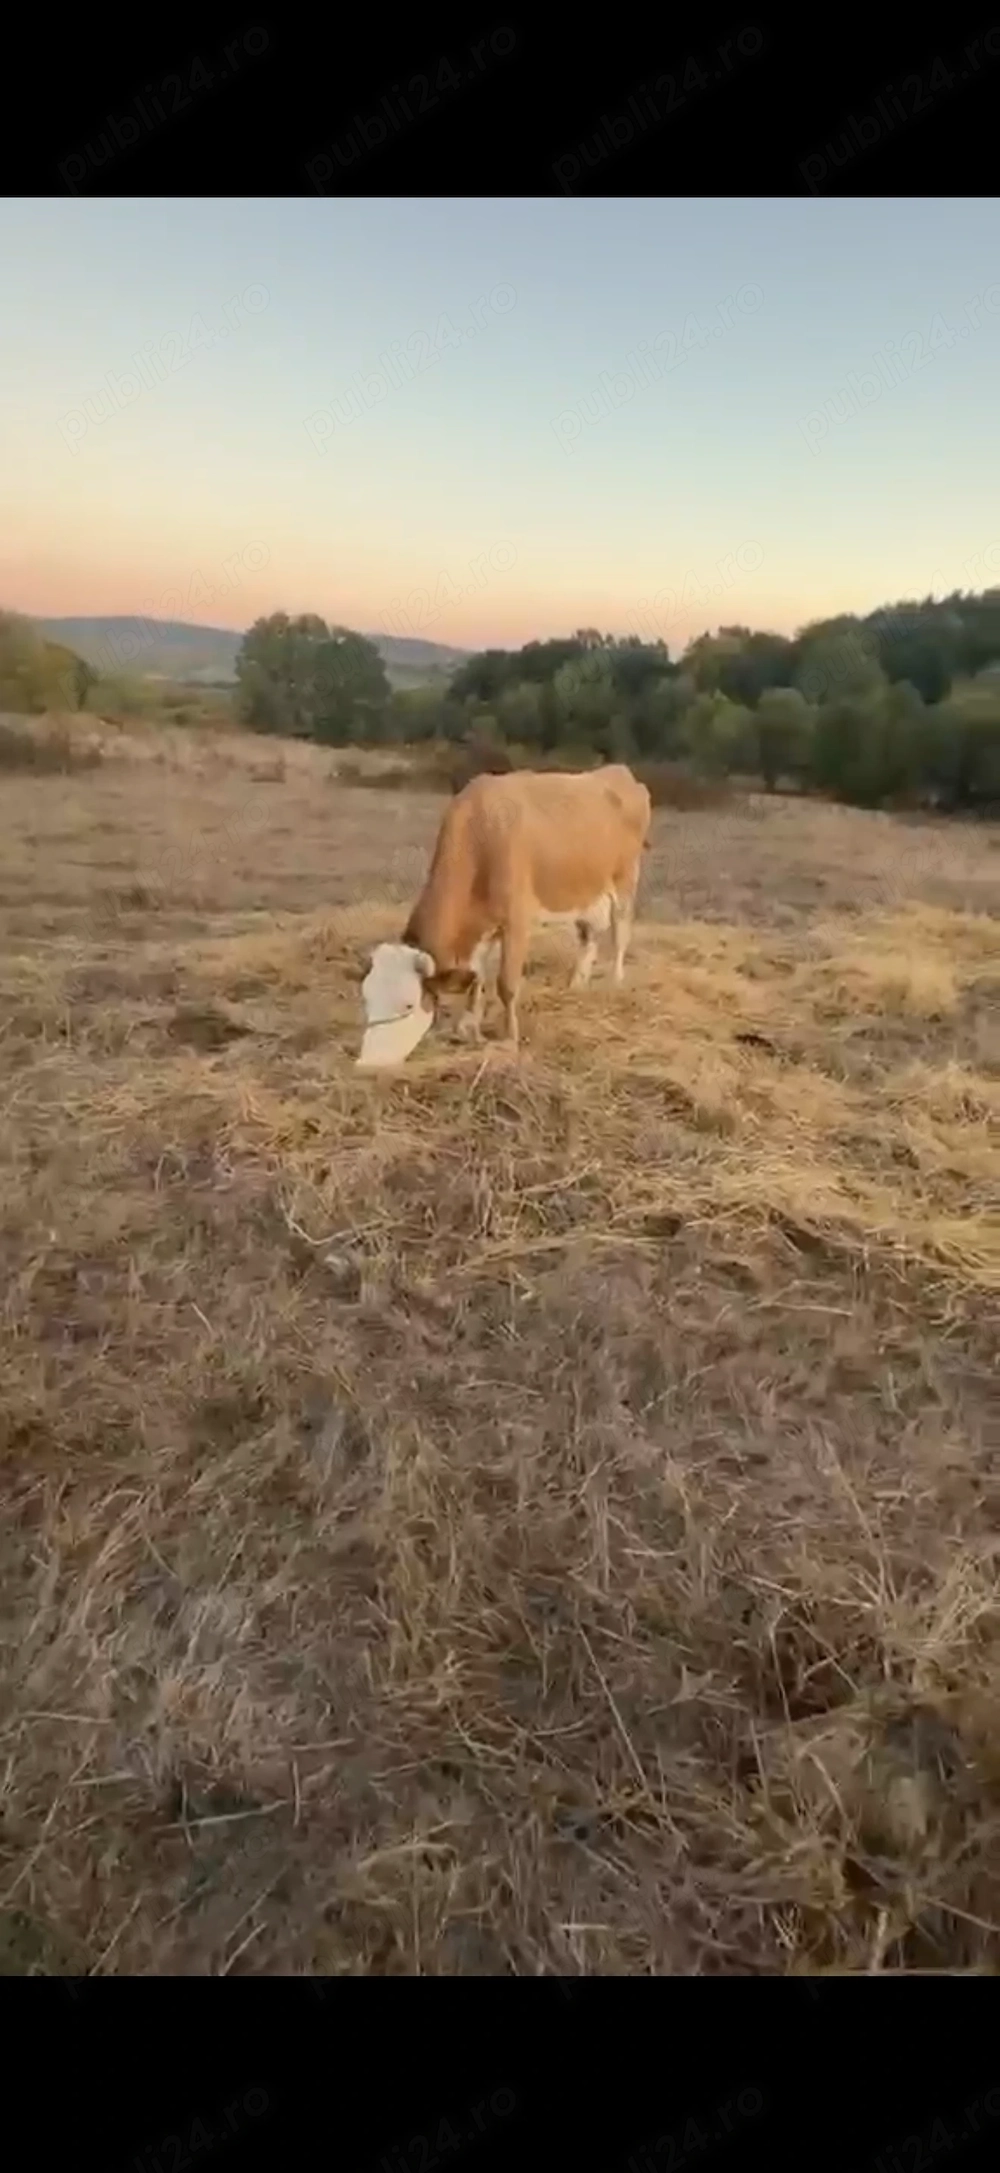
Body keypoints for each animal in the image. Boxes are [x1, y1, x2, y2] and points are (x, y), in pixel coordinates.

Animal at [356, 763, 652, 1068]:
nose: (366, 1064)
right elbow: (476, 977)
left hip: (625, 880)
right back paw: (576, 986)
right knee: (589, 935)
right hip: (586, 891)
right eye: (366, 998)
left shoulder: (516, 922)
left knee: (620, 933)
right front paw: (468, 1028)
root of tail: (618, 771)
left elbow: (506, 984)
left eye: (408, 1004)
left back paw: (615, 983)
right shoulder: (479, 927)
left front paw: (509, 1038)